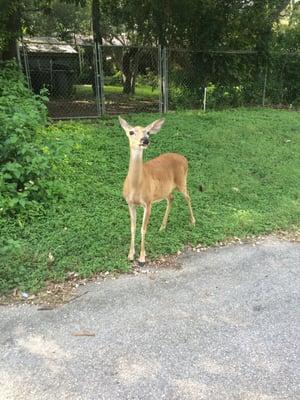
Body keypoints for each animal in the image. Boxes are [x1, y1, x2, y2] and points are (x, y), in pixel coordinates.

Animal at [118, 116, 196, 266]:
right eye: (131, 132)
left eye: (147, 132)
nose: (145, 140)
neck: (136, 186)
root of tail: (184, 158)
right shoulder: (130, 203)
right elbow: (132, 227)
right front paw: (130, 255)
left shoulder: (148, 202)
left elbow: (143, 229)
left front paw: (142, 257)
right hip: (166, 190)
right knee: (171, 199)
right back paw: (162, 227)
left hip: (182, 181)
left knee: (188, 197)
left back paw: (193, 221)